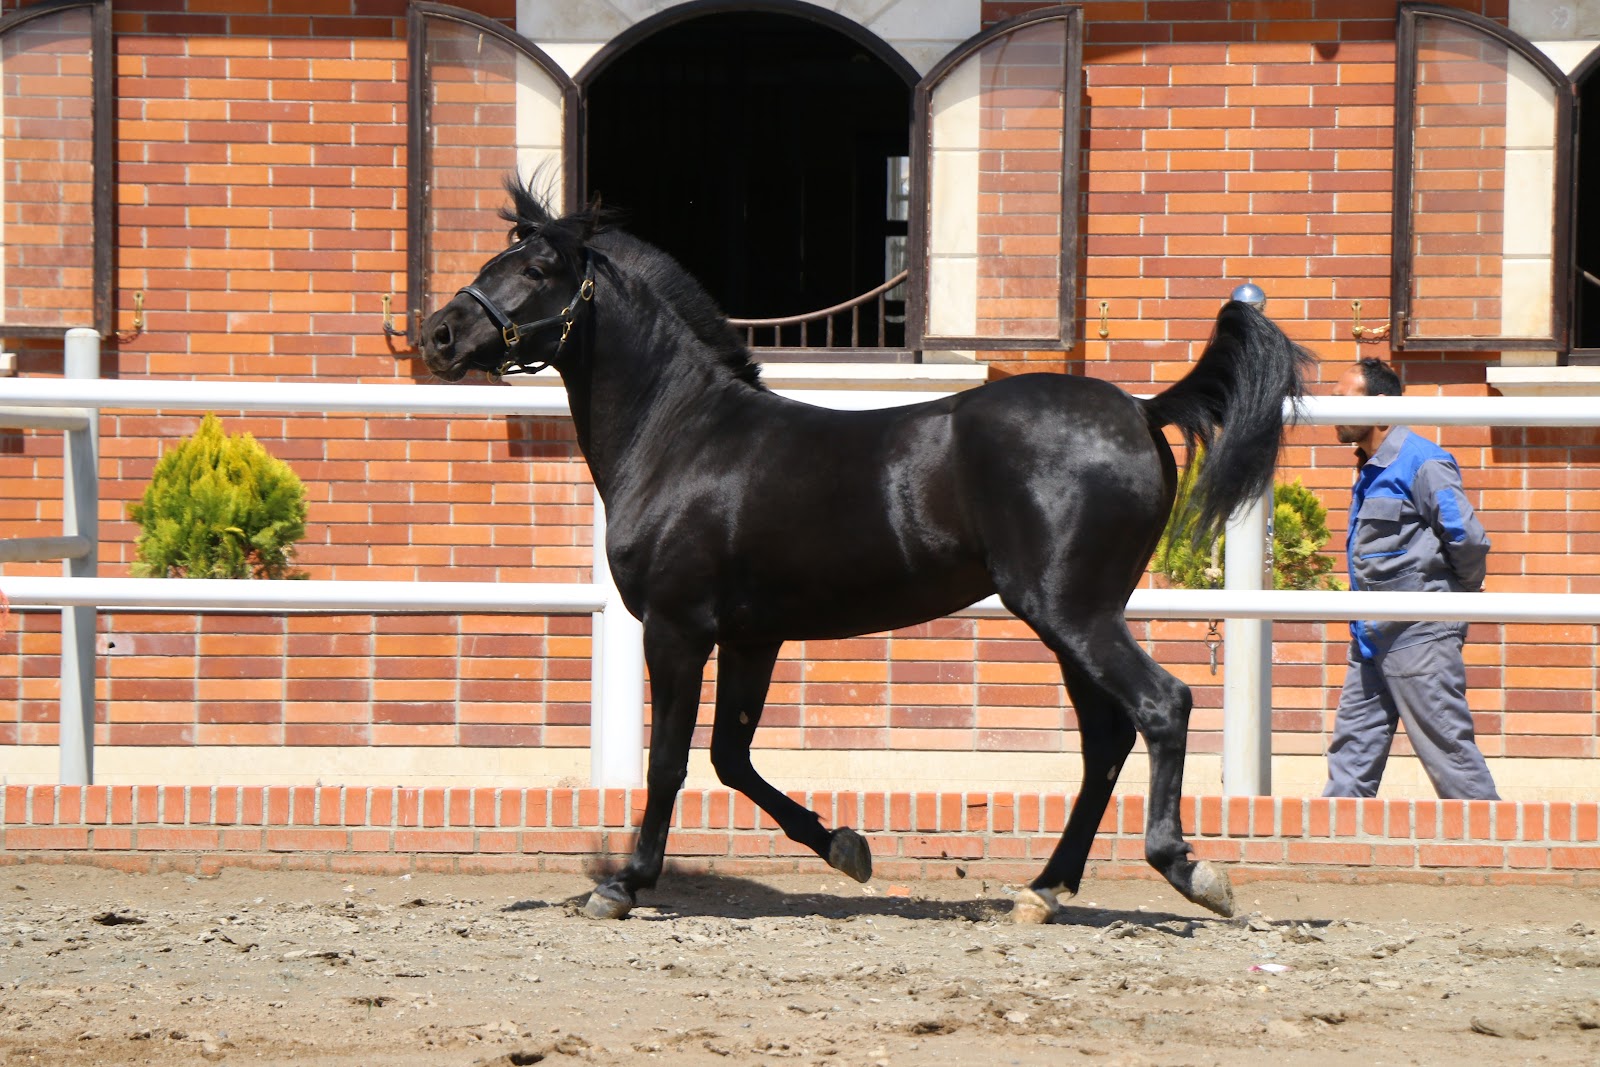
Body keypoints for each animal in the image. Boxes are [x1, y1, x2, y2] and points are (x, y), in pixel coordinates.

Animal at [420, 179, 1312, 924]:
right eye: (494, 260)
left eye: (537, 267)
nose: (438, 333)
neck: (683, 436)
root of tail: (1141, 409)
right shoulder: (753, 635)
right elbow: (731, 757)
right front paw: (848, 848)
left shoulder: (677, 628)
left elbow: (670, 760)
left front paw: (624, 884)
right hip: (1074, 619)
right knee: (1106, 740)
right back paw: (1044, 890)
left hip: (1073, 611)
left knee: (1162, 706)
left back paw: (1189, 870)